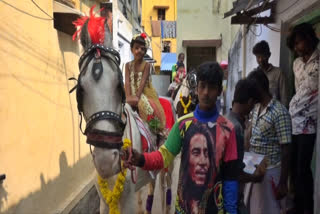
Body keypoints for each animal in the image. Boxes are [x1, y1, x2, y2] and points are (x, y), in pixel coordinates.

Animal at [71, 8, 174, 214]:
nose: (105, 160)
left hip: (170, 163)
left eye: (119, 86)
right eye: (81, 90)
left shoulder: (128, 201)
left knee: (166, 186)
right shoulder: (104, 201)